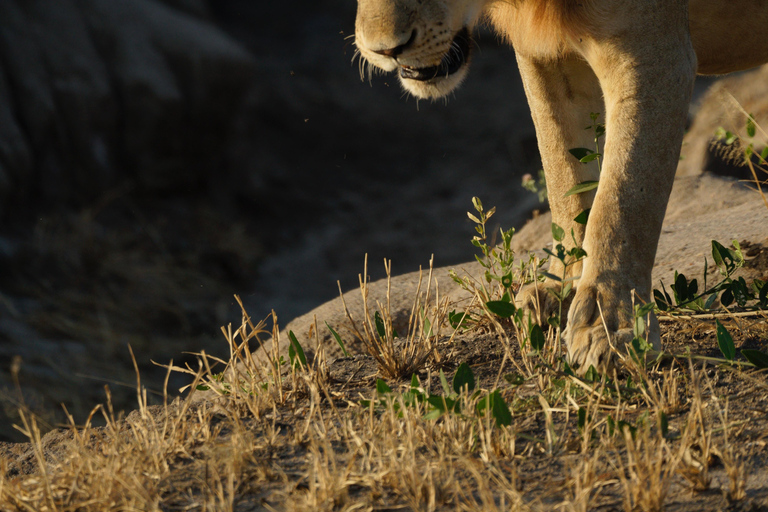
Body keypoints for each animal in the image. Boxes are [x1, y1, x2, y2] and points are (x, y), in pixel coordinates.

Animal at [356, 0, 768, 372]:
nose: (385, 50)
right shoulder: (541, 50)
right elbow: (563, 172)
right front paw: (563, 290)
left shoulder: (653, 52)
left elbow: (625, 196)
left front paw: (611, 327)